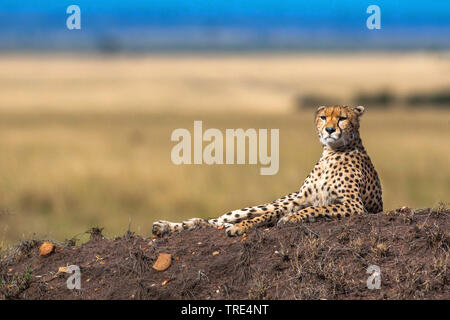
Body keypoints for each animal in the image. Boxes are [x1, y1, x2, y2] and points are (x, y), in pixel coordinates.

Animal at [153, 105, 382, 238]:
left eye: (342, 118)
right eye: (324, 117)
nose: (330, 130)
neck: (331, 152)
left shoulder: (354, 205)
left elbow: (316, 209)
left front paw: (292, 219)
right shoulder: (299, 200)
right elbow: (275, 213)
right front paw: (244, 226)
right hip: (258, 205)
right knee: (214, 220)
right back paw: (168, 226)